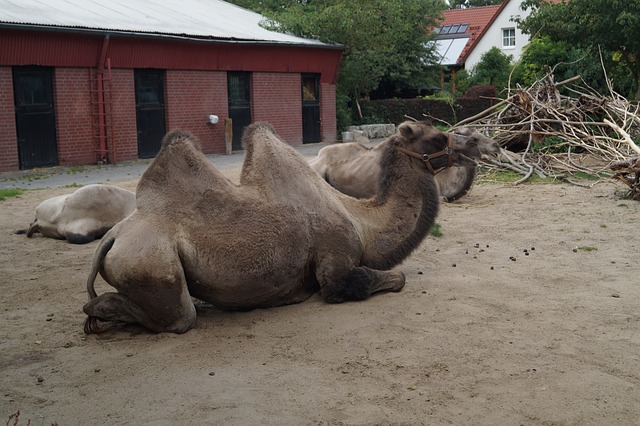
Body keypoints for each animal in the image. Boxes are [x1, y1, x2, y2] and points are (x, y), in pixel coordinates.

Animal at [82, 121, 480, 334]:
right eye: (438, 138)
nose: (473, 144)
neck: (362, 221)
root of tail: (113, 236)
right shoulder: (335, 263)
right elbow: (391, 279)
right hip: (151, 262)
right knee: (180, 317)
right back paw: (99, 313)